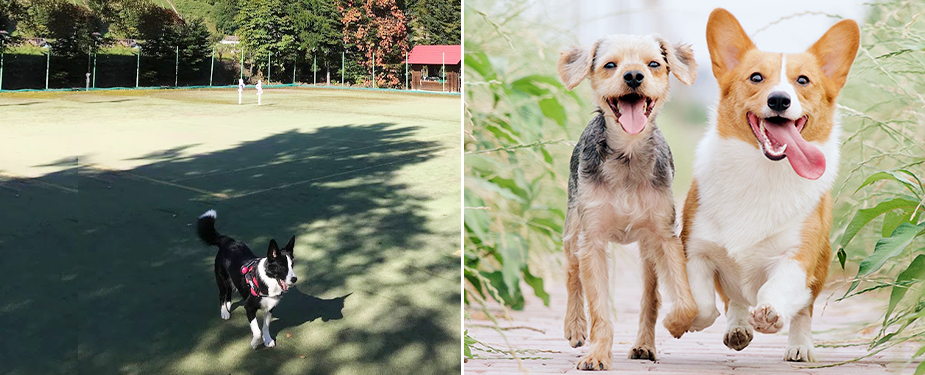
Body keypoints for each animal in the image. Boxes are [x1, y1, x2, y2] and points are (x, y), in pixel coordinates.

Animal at [197, 210, 298, 352]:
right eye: (282, 266)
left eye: (292, 265)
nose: (295, 279)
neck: (266, 281)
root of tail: (228, 241)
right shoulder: (249, 308)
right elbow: (257, 331)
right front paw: (255, 344)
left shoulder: (269, 308)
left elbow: (265, 327)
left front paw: (268, 340)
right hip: (222, 280)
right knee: (222, 294)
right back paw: (224, 312)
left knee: (229, 291)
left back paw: (228, 306)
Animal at [556, 35, 700, 370]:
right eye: (610, 64)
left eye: (654, 64)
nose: (633, 76)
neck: (628, 155)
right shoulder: (592, 240)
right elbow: (598, 307)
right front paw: (597, 354)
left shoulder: (664, 237)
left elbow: (685, 301)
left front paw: (677, 323)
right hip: (573, 228)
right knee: (571, 273)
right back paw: (575, 326)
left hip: (647, 251)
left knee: (651, 296)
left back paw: (644, 345)